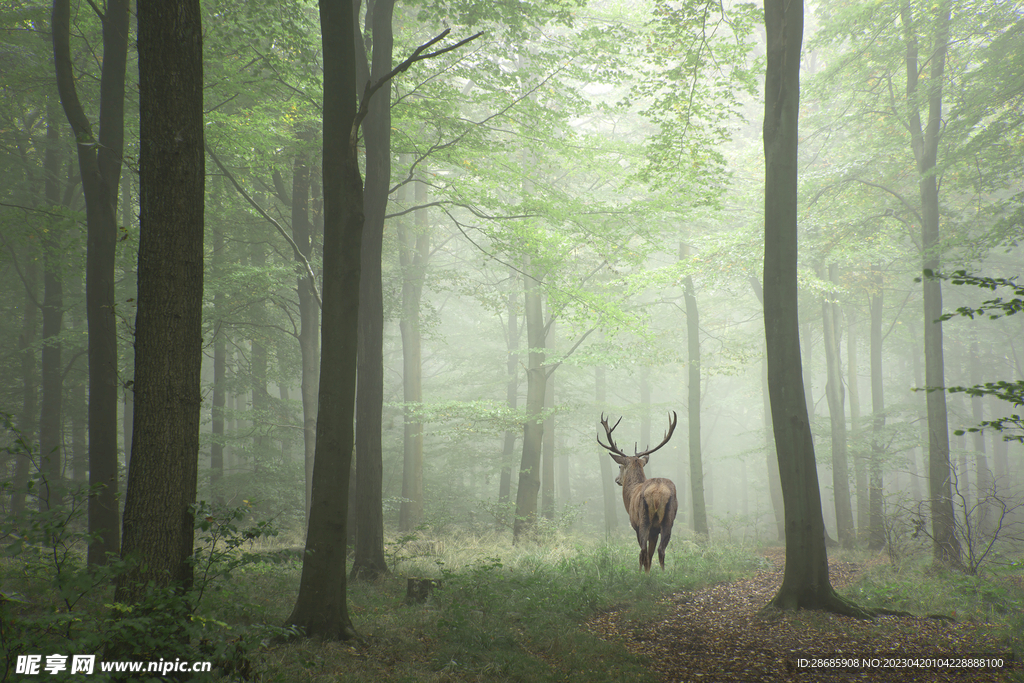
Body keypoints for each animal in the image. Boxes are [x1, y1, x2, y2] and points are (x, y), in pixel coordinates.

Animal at [598, 411, 675, 573]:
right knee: (661, 550)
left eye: (620, 466)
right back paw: (664, 574)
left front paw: (643, 573)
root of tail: (657, 494)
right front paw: (649, 573)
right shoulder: (654, 531)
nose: (617, 479)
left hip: (643, 519)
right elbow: (651, 555)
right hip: (669, 519)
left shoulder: (635, 524)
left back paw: (641, 575)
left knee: (643, 551)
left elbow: (643, 553)